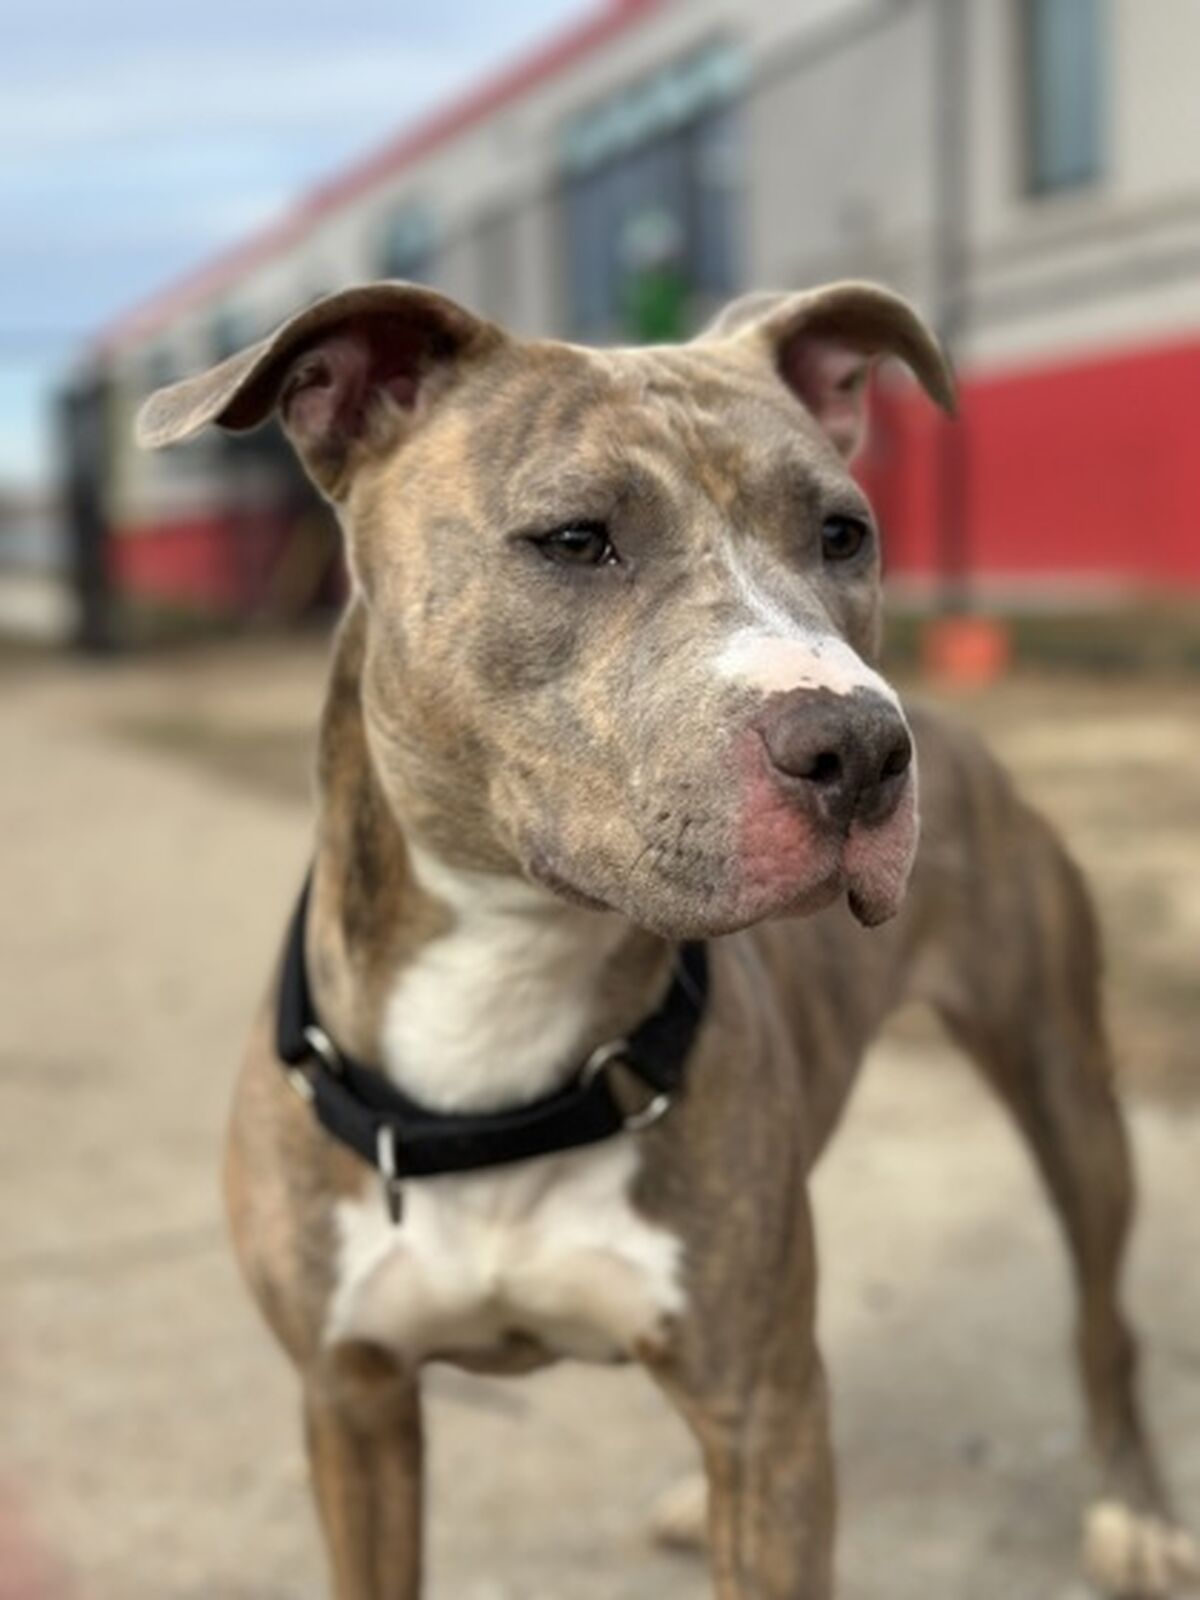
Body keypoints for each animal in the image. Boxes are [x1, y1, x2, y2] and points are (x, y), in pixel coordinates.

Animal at [138, 279, 1197, 1599]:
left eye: (843, 533)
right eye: (574, 540)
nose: (862, 746)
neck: (510, 991)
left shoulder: (764, 1403)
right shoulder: (353, 1401)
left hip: (1065, 1087)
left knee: (1107, 1318)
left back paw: (1135, 1512)